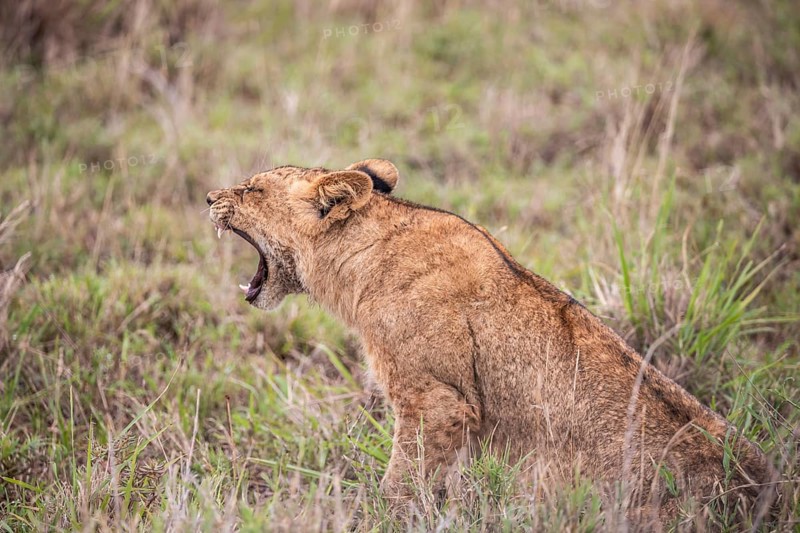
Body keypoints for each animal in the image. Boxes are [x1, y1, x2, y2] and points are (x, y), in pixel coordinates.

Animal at [207, 159, 775, 525]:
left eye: (252, 190)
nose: (209, 197)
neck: (358, 261)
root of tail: (764, 495)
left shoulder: (437, 399)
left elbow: (401, 480)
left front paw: (374, 518)